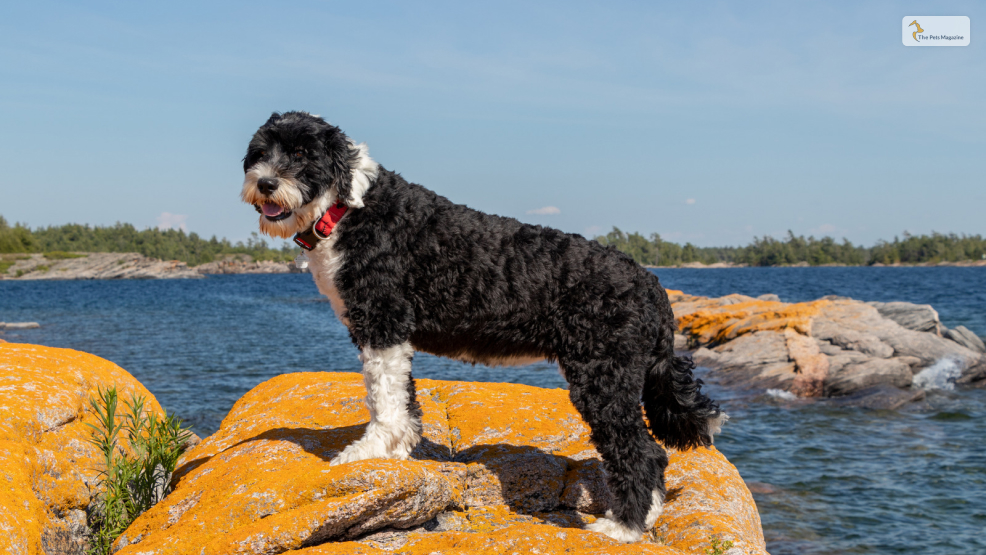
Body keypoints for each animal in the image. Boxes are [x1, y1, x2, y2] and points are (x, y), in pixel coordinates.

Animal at [242, 112, 728, 544]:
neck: (347, 209)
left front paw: (369, 451)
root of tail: (651, 285)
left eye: (302, 154)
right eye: (260, 153)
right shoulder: (391, 334)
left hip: (603, 376)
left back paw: (622, 527)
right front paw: (398, 451)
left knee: (642, 453)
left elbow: (383, 398)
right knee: (655, 457)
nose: (265, 183)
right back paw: (646, 518)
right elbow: (402, 397)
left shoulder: (382, 322)